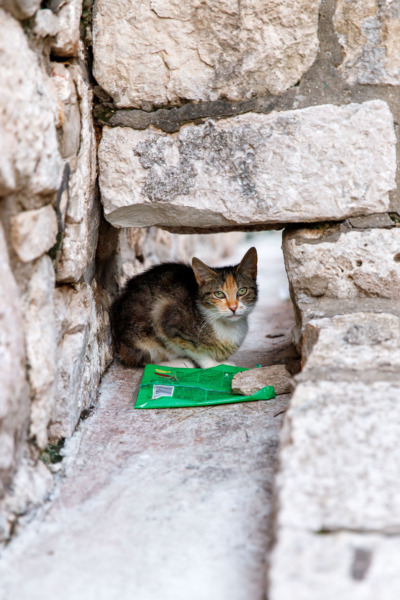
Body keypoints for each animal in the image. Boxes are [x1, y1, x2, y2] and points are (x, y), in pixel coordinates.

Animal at [111, 246, 258, 368]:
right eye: (219, 294)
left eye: (242, 291)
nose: (233, 307)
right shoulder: (166, 316)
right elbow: (195, 350)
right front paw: (213, 364)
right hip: (140, 333)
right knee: (142, 359)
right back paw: (177, 363)